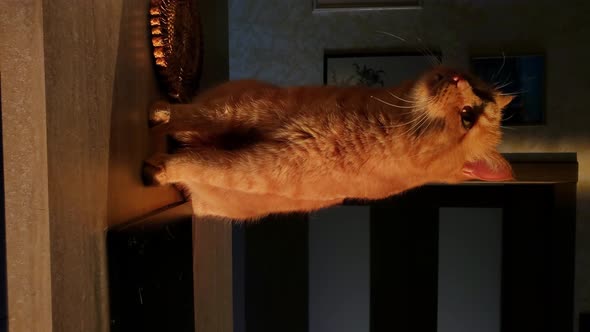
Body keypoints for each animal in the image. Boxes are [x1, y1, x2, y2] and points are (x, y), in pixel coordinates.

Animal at [143, 65, 512, 220]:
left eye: (467, 117)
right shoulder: (249, 110)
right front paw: (160, 113)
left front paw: (162, 169)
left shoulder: (256, 168)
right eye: (478, 88)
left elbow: (203, 164)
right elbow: (193, 115)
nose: (458, 77)